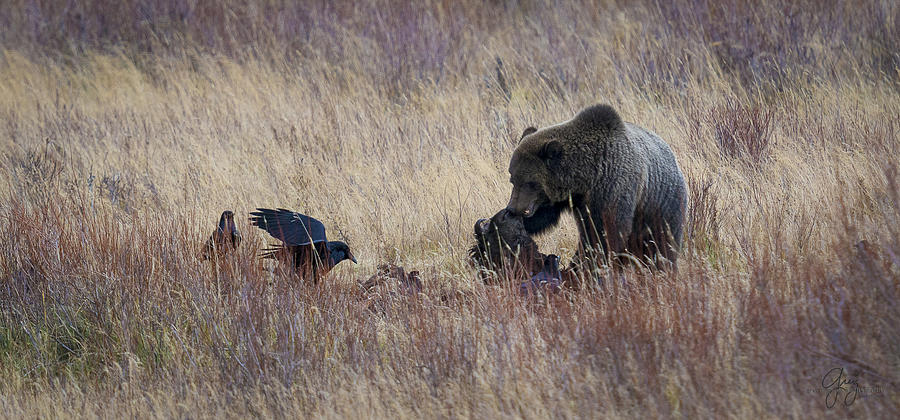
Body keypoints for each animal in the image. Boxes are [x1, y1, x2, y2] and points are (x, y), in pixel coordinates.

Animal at [506, 103, 688, 268]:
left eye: (531, 183)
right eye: (513, 179)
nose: (513, 209)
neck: (585, 179)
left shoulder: (611, 188)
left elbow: (605, 232)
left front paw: (582, 263)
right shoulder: (564, 197)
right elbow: (544, 216)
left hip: (661, 206)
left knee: (661, 246)